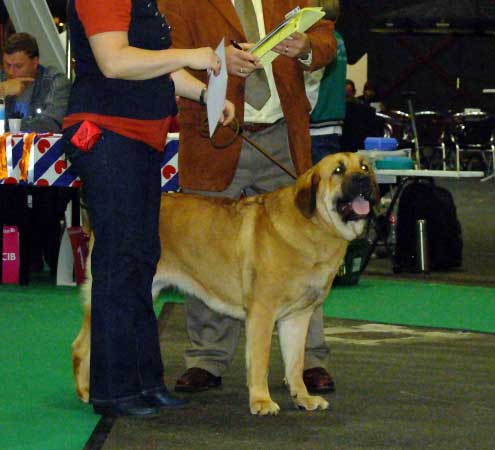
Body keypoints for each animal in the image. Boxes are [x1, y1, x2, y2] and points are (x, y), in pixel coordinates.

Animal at [71, 153, 380, 416]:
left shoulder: (298, 316)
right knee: (82, 345)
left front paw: (302, 398)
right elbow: (260, 361)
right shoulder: (262, 313)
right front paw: (261, 401)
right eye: (338, 170)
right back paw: (88, 392)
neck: (312, 227)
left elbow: (295, 363)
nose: (363, 180)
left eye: (364, 167)